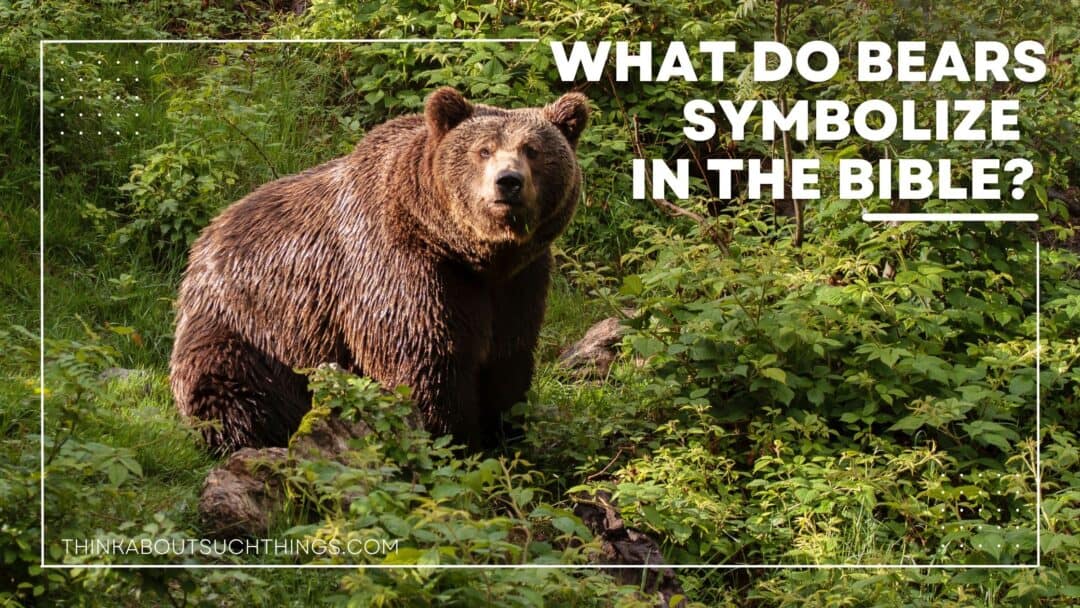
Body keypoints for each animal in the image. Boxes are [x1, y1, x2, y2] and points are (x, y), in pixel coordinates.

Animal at [169, 87, 589, 454]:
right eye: (482, 150)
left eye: (532, 150)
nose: (508, 182)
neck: (472, 253)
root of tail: (206, 236)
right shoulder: (404, 270)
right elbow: (424, 363)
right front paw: (452, 441)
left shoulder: (519, 282)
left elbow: (507, 360)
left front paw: (506, 438)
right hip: (250, 328)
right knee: (230, 388)